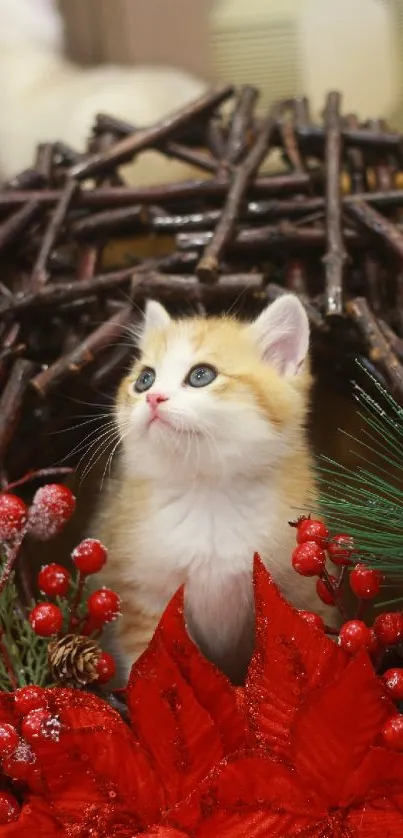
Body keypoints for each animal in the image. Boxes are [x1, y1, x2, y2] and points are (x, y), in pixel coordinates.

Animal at [94, 296, 328, 684]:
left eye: (201, 375)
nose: (153, 397)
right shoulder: (141, 596)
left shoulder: (302, 594)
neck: (208, 492)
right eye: (144, 379)